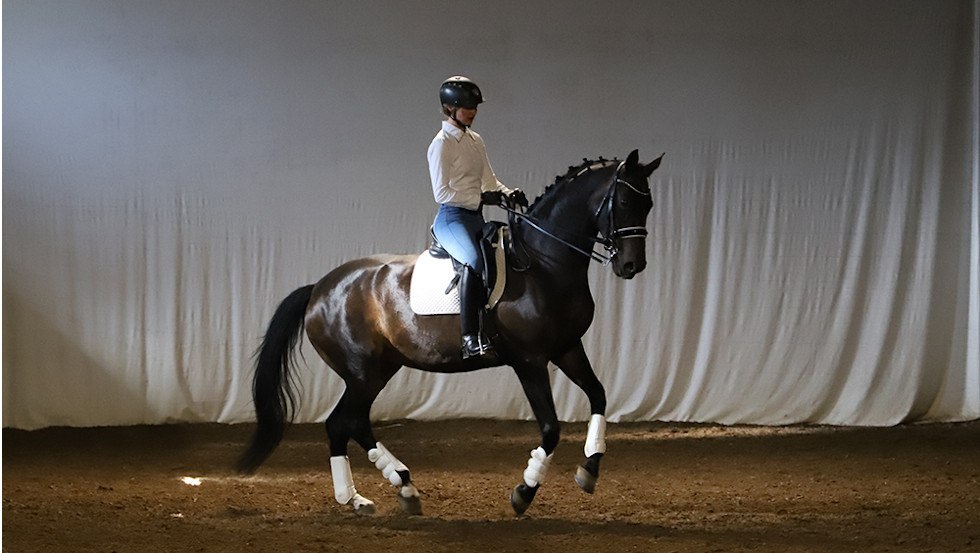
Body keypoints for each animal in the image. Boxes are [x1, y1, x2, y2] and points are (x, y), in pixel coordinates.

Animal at [237, 149, 663, 516]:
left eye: (648, 205)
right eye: (625, 202)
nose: (632, 266)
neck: (544, 264)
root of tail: (319, 289)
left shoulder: (567, 348)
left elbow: (599, 396)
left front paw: (589, 470)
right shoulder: (529, 361)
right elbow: (551, 428)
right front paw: (524, 491)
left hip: (378, 369)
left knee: (347, 424)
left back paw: (377, 494)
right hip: (362, 372)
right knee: (344, 422)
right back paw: (381, 489)